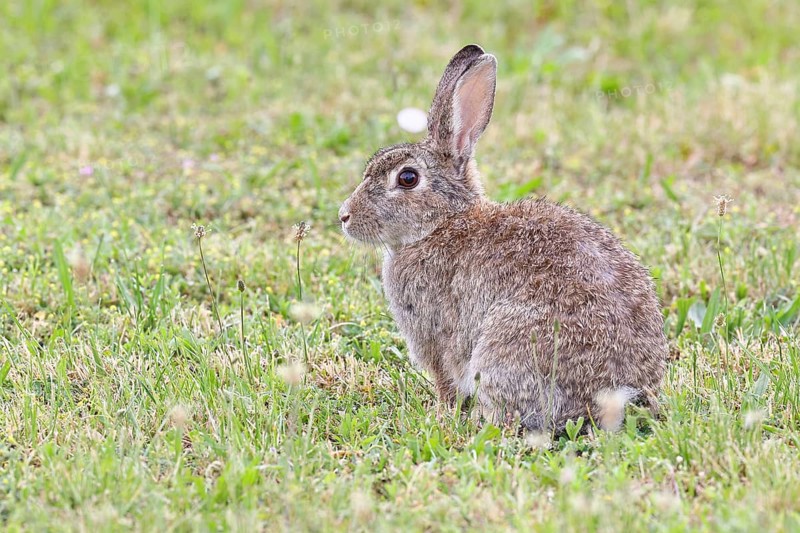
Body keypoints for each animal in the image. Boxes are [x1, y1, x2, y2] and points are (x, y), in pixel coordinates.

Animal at [338, 44, 668, 433]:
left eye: (407, 178)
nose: (344, 216)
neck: (441, 224)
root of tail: (614, 395)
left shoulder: (434, 338)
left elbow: (445, 382)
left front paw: (440, 413)